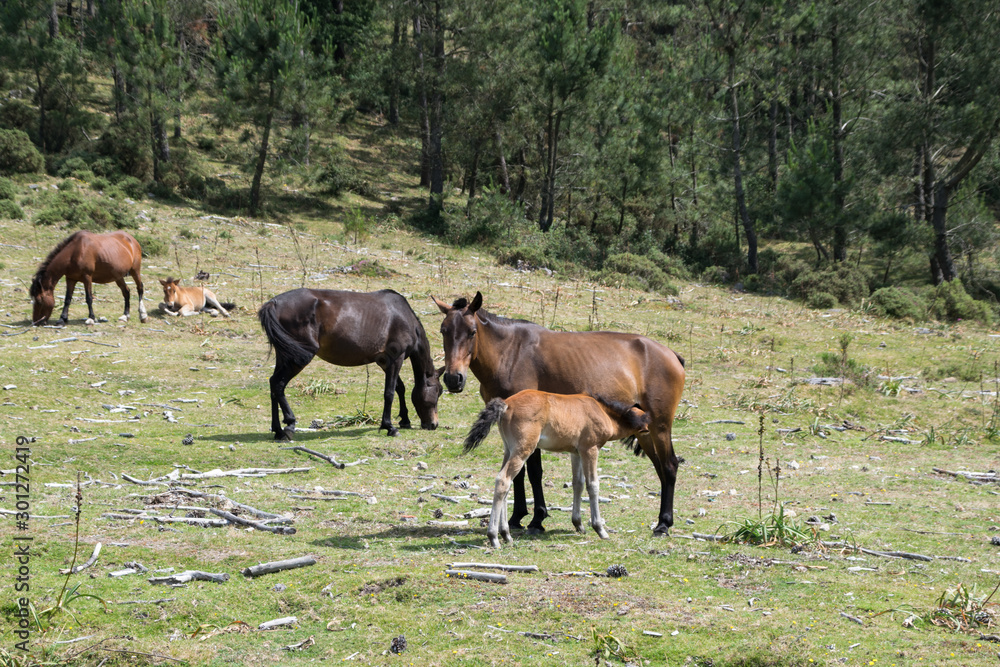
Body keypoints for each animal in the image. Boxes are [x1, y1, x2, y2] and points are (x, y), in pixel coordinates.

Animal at [260, 290, 444, 440]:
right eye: (439, 391)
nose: (434, 424)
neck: (404, 316)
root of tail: (273, 303)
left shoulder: (385, 362)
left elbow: (400, 388)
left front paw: (404, 420)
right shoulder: (395, 359)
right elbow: (389, 393)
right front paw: (389, 426)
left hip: (284, 356)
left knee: (273, 384)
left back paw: (278, 430)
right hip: (298, 358)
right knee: (279, 384)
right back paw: (289, 424)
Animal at [462, 388, 648, 552]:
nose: (646, 451)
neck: (602, 411)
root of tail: (506, 404)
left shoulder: (576, 453)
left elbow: (578, 484)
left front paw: (579, 524)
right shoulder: (590, 449)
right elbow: (593, 485)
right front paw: (600, 529)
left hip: (509, 449)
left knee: (506, 484)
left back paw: (506, 534)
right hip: (523, 449)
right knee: (503, 480)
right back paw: (494, 537)